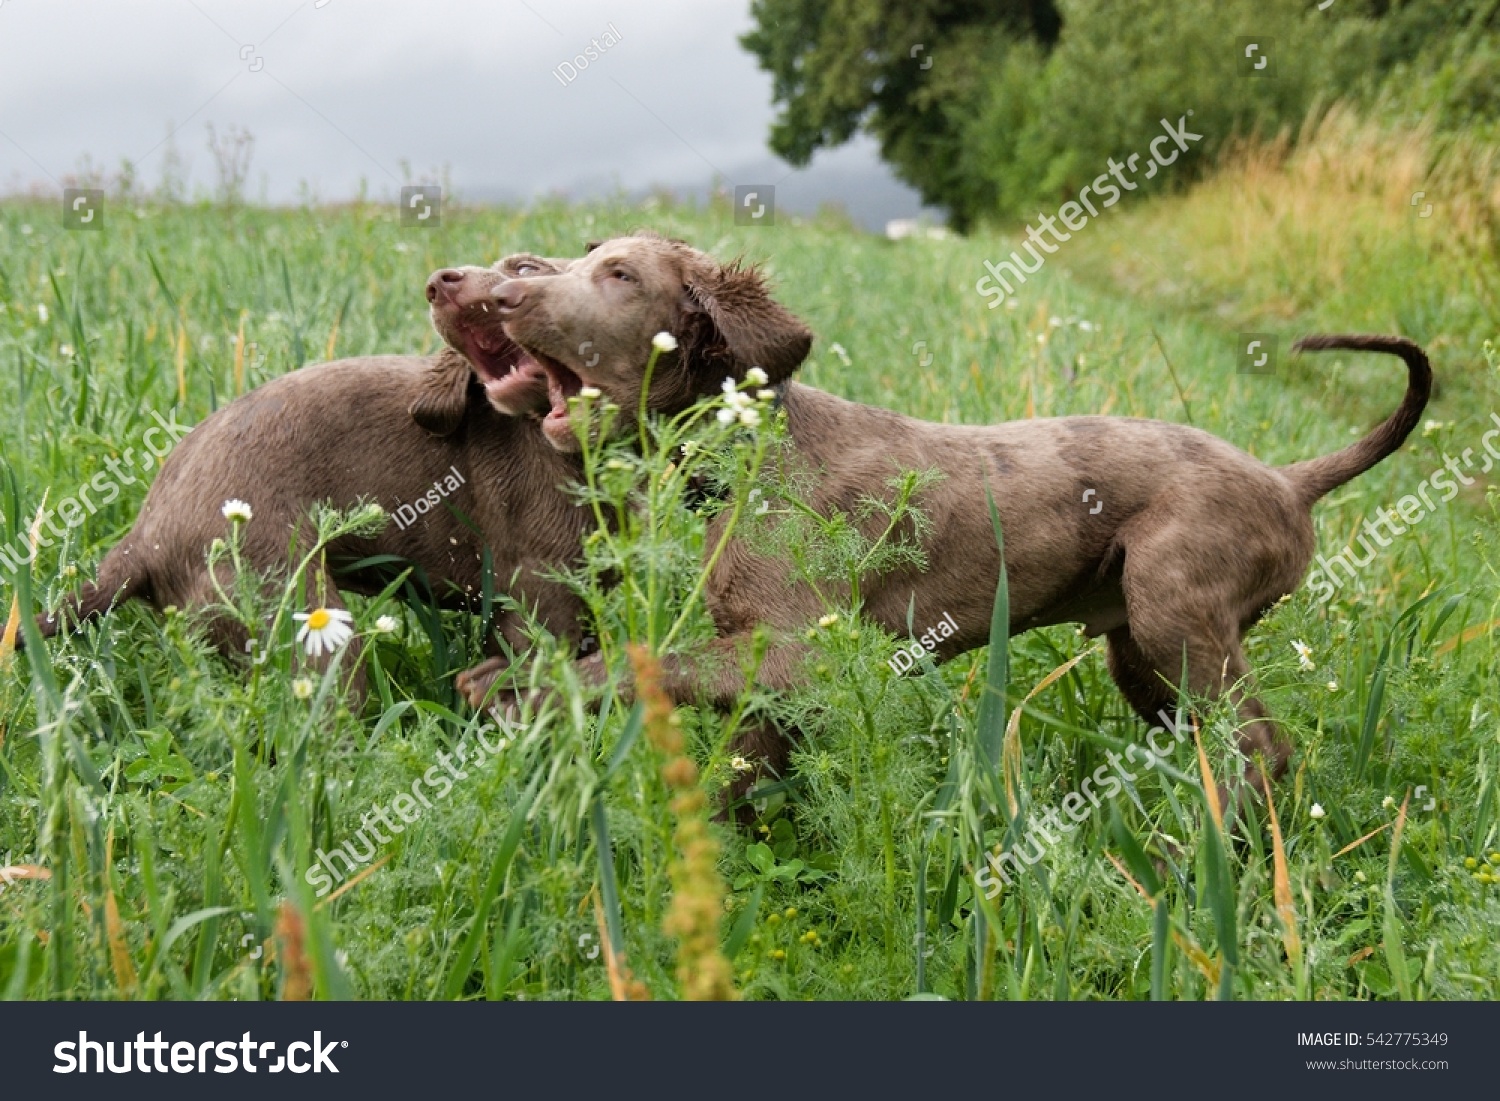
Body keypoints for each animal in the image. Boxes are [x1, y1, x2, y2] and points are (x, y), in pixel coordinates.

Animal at [465, 232, 1428, 804]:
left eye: (621, 276)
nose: (492, 295)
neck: (746, 451)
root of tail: (1289, 481)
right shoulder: (772, 681)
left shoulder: (797, 651)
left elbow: (649, 661)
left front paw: (522, 688)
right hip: (1143, 654)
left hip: (1176, 611)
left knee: (1263, 748)